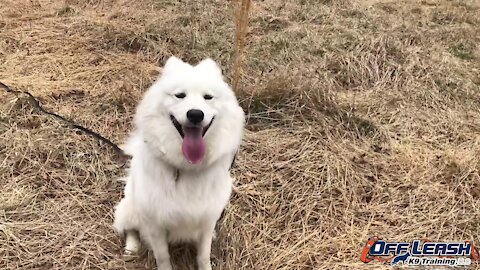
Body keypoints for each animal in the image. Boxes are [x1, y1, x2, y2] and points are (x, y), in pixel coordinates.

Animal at [114, 56, 246, 268]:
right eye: (180, 95)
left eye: (208, 97)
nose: (195, 114)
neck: (187, 167)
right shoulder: (155, 224)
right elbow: (162, 256)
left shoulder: (207, 219)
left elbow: (203, 255)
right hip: (130, 209)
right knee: (131, 229)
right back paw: (131, 248)